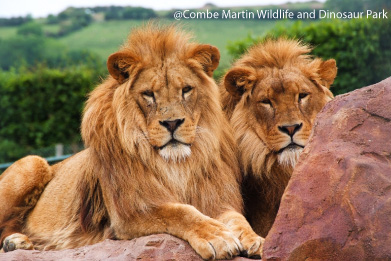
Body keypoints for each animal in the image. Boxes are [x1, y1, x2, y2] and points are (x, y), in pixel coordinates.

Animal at [0, 24, 264, 258]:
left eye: (186, 89)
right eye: (149, 94)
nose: (172, 123)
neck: (177, 164)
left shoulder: (217, 201)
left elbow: (238, 220)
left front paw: (255, 240)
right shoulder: (130, 212)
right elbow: (180, 212)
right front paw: (216, 237)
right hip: (33, 163)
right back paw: (15, 242)